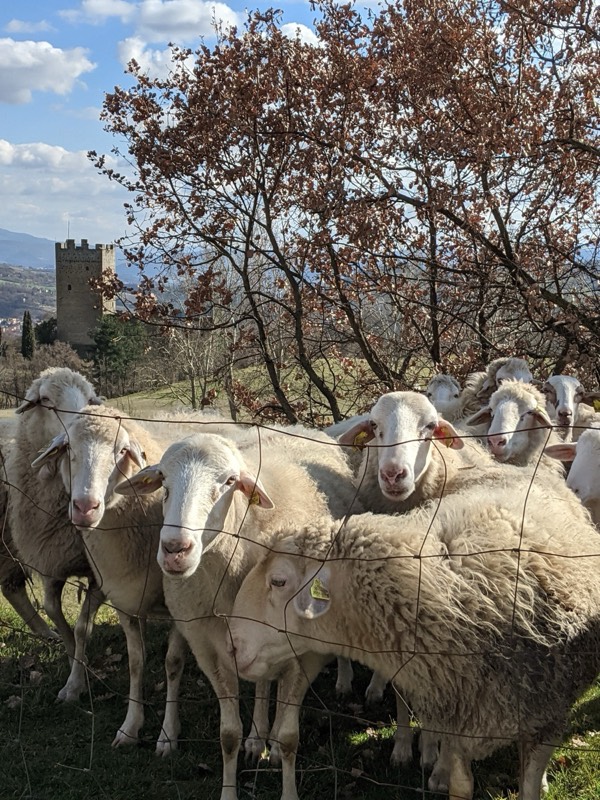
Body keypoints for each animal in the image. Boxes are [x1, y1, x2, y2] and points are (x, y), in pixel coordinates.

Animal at [5, 367, 105, 701]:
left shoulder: (100, 572)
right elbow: (54, 612)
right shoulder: (50, 559)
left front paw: (74, 684)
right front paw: (76, 664)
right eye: (46, 400)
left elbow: (82, 626)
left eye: (89, 399)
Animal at [31, 404, 187, 754]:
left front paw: (168, 735)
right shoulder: (125, 599)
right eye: (69, 449)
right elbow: (135, 662)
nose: (85, 507)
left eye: (121, 452)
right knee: (82, 627)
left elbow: (172, 663)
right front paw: (130, 727)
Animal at [115, 428, 363, 800]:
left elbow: (289, 738)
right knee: (261, 683)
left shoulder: (305, 654)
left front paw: (284, 774)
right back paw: (258, 737)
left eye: (230, 481)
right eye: (162, 481)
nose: (175, 549)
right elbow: (228, 735)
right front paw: (232, 781)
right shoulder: (209, 649)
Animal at [227, 484, 600, 800]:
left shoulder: (547, 714)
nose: (233, 647)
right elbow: (461, 785)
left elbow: (529, 785)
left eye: (278, 581)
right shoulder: (461, 718)